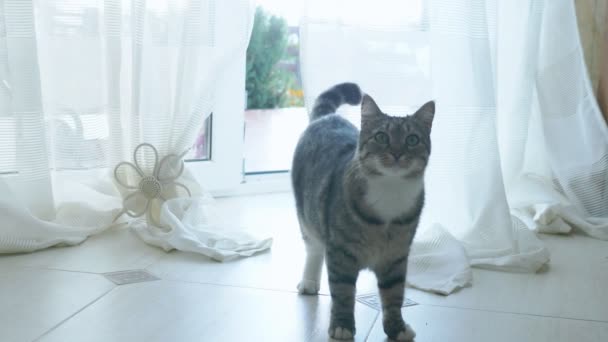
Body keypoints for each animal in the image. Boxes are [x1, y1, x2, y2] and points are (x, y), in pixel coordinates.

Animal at [290, 83, 432, 342]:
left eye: (412, 139)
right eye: (381, 136)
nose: (397, 153)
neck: (390, 191)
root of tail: (327, 117)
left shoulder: (396, 255)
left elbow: (394, 294)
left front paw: (396, 328)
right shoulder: (341, 252)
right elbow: (343, 291)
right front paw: (342, 326)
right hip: (306, 215)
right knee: (313, 247)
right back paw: (309, 281)